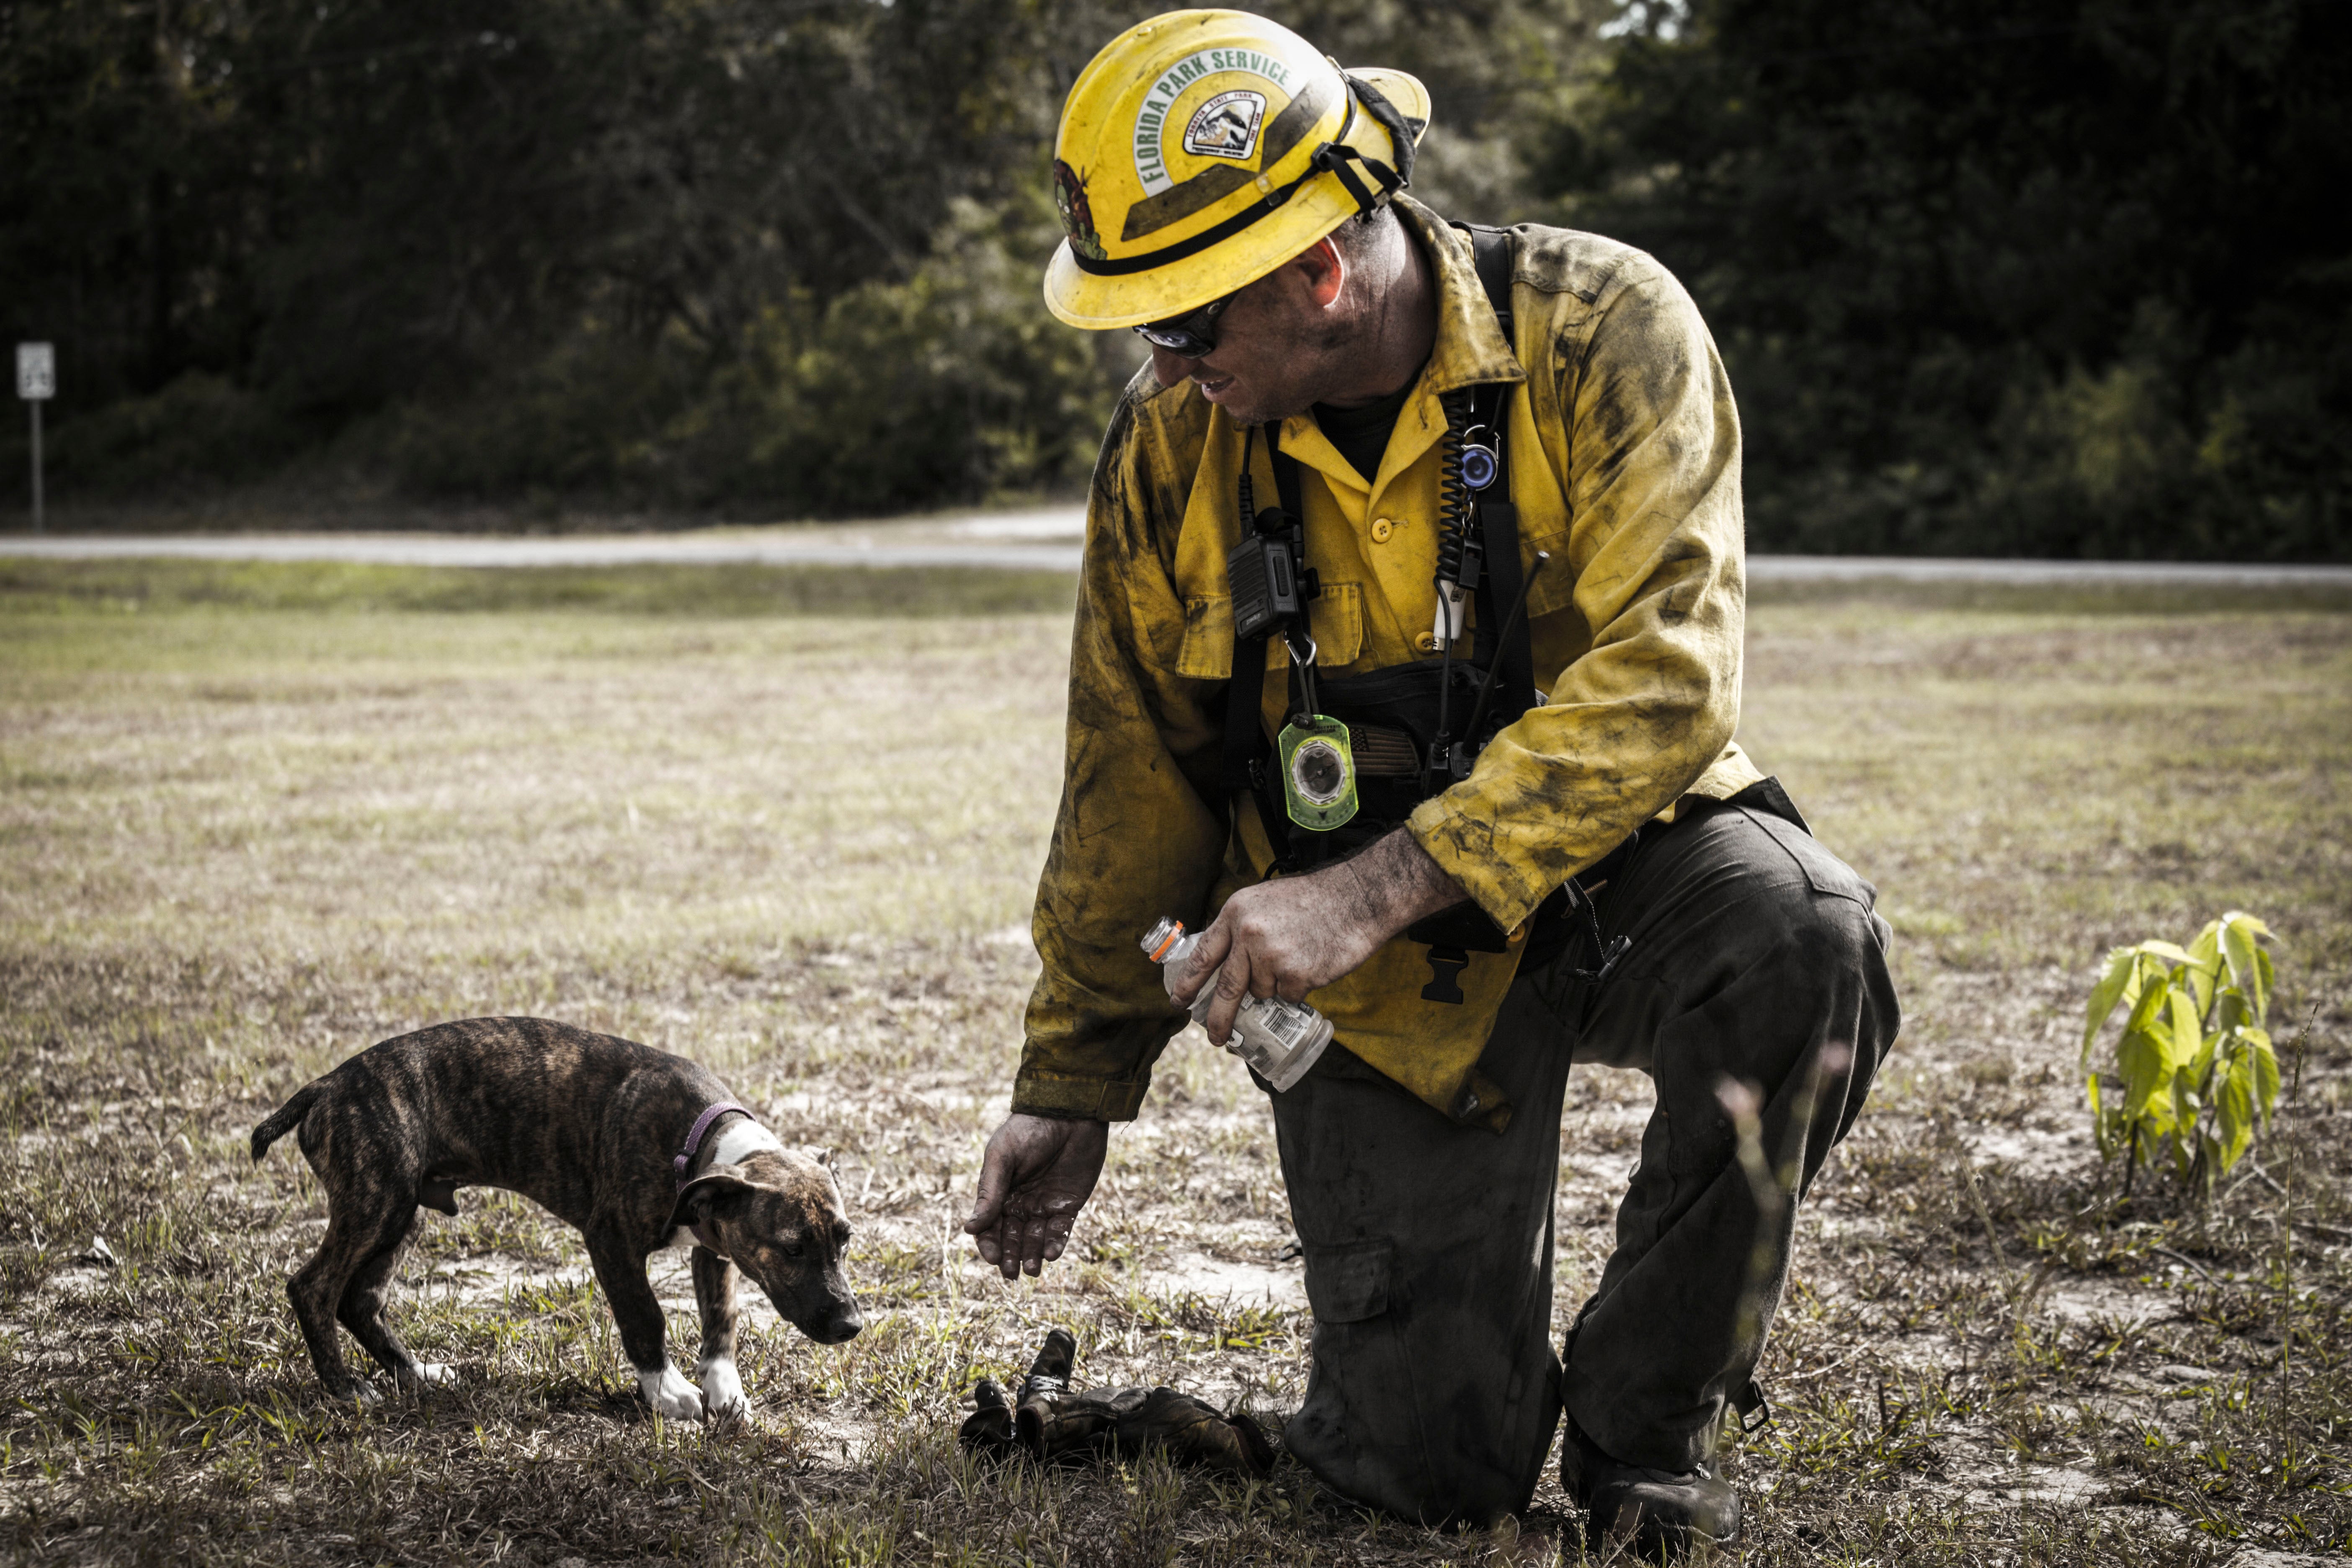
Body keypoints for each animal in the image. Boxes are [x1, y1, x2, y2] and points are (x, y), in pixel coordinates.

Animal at [253, 1020, 861, 1420]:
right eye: (791, 1248)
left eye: (845, 1242)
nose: (852, 1325)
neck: (700, 1139)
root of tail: (327, 1085)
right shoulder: (611, 1241)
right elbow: (645, 1317)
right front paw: (666, 1390)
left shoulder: (714, 1244)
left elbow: (721, 1318)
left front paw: (723, 1386)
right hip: (375, 1203)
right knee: (314, 1288)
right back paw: (345, 1388)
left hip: (402, 1213)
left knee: (362, 1299)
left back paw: (414, 1374)